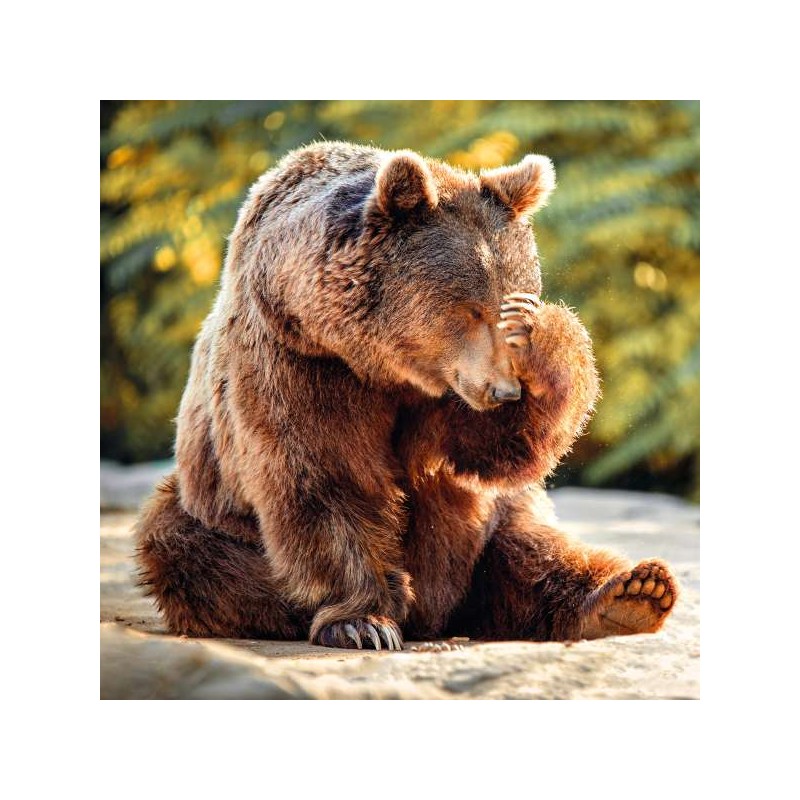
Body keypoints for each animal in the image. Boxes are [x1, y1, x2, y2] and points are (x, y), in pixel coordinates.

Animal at [134, 141, 678, 650]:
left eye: (511, 298)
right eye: (469, 308)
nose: (505, 391)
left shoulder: (443, 395)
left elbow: (493, 451)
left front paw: (538, 332)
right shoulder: (297, 361)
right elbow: (326, 478)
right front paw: (363, 622)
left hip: (497, 525)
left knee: (528, 546)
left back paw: (631, 593)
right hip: (212, 509)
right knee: (186, 548)